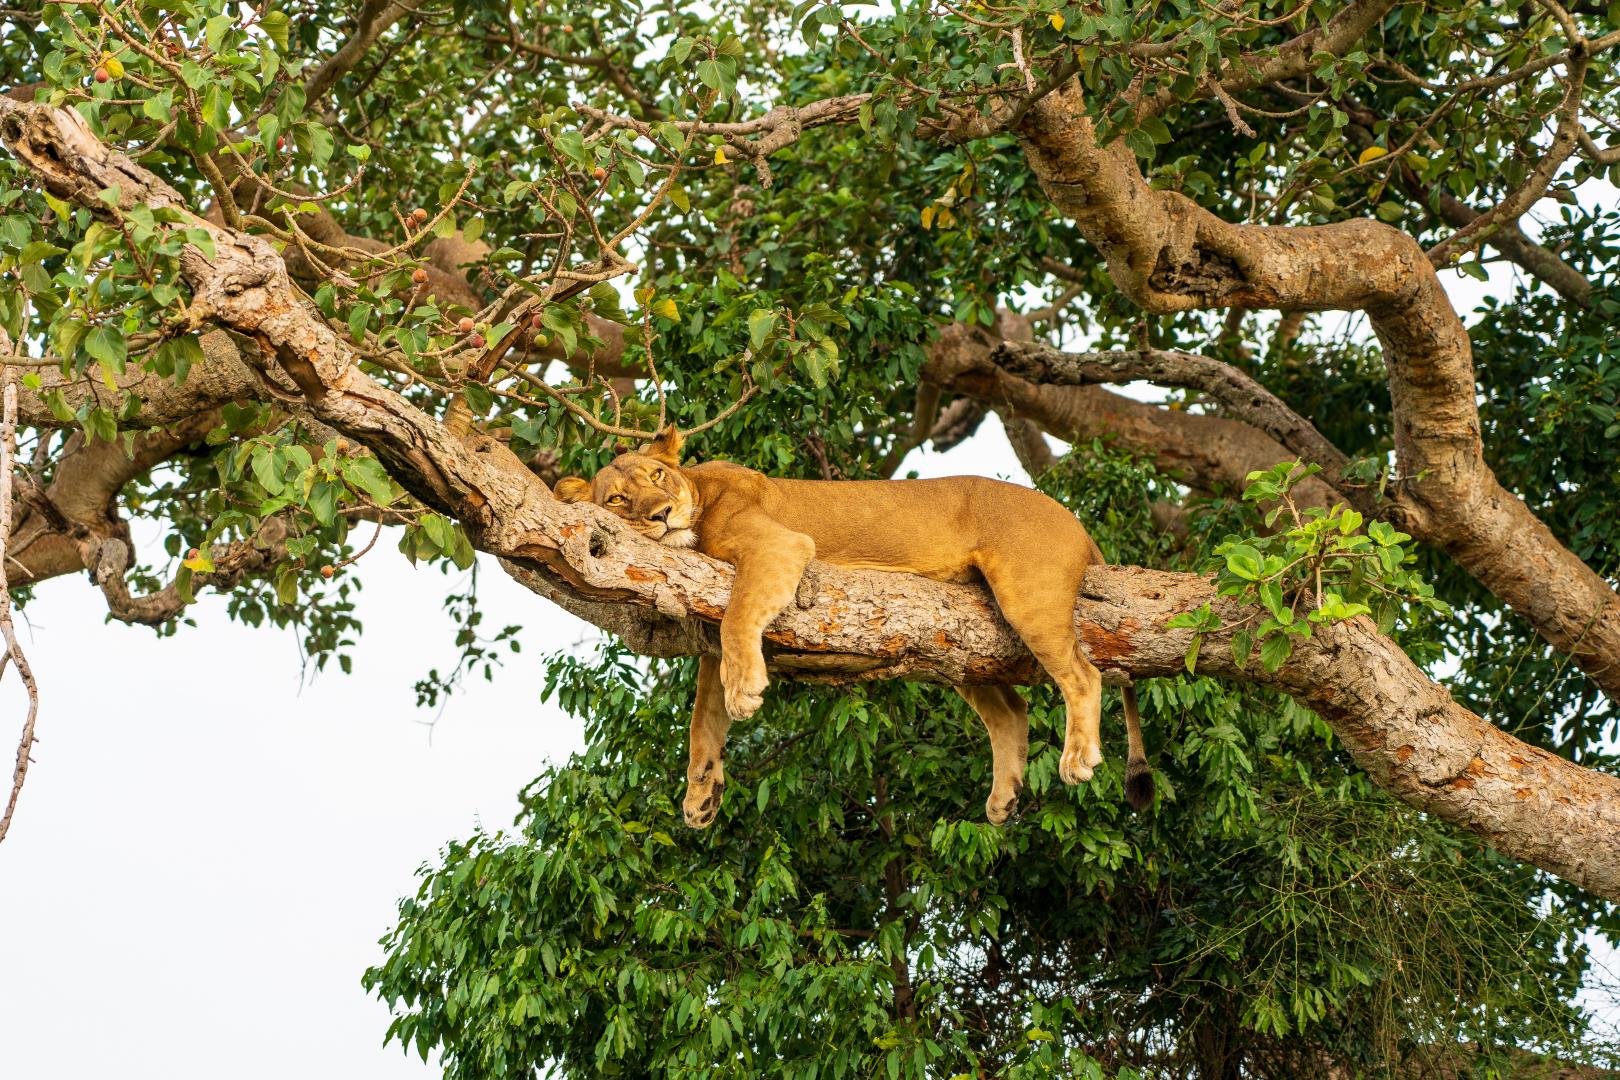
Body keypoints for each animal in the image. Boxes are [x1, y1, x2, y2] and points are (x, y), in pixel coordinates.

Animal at [554, 425, 1152, 829]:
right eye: (618, 499)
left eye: (658, 476)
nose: (662, 514)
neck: (698, 489)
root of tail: (1073, 520)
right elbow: (704, 714)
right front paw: (701, 794)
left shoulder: (779, 546)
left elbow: (737, 621)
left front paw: (745, 690)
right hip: (959, 639)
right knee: (1011, 710)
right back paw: (1003, 798)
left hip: (1029, 596)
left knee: (1082, 675)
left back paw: (1078, 759)